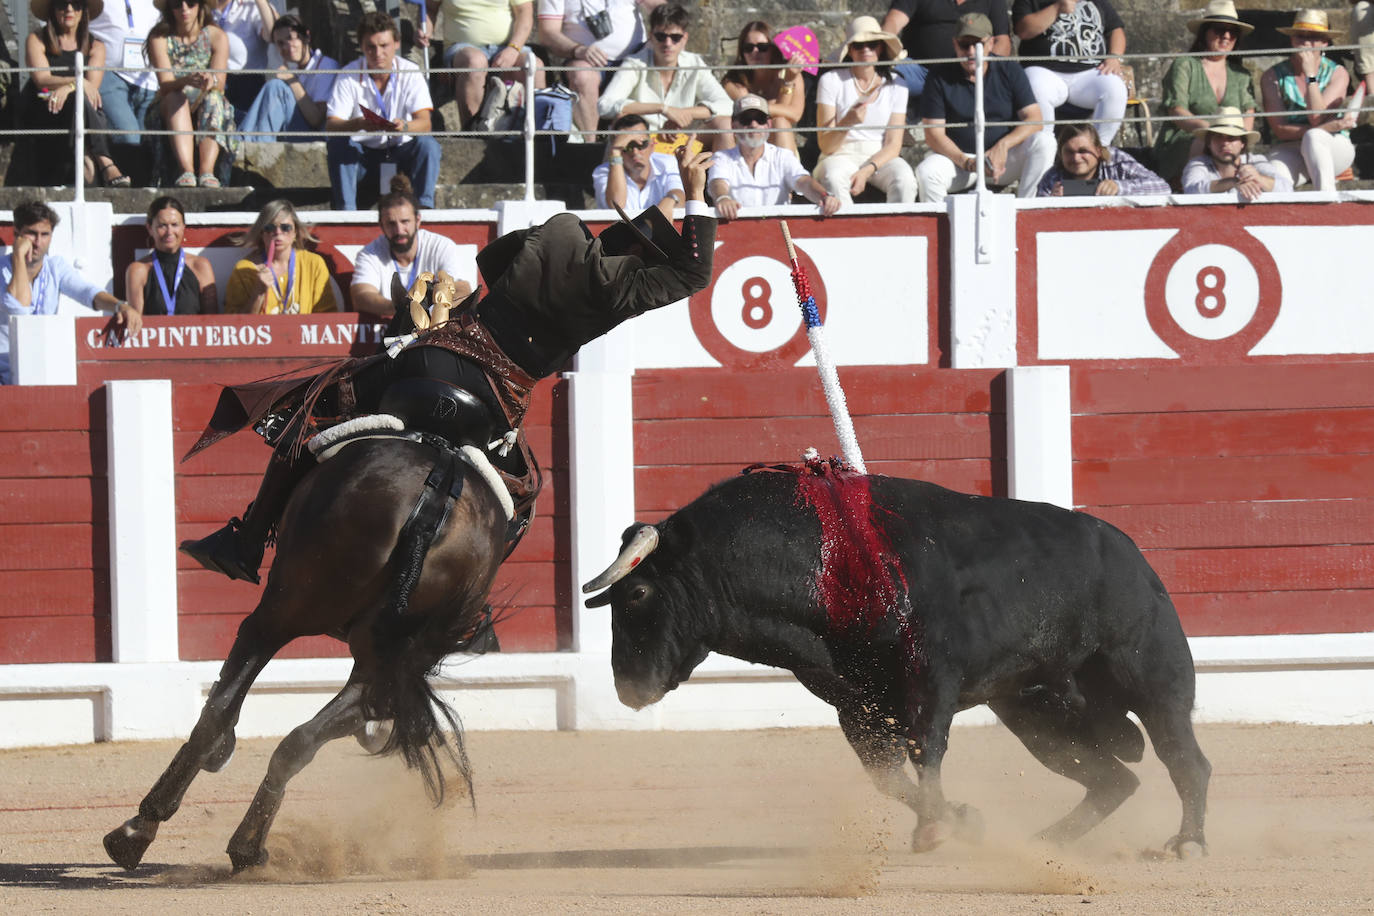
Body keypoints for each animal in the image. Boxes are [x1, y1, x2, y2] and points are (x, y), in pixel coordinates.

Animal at [103, 384, 516, 873]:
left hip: (279, 613)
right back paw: (245, 844)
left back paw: (139, 830)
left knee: (225, 710)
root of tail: (436, 495)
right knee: (300, 739)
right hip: (385, 655)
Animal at [585, 466, 1209, 862]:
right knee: (1113, 778)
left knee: (1185, 759)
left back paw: (1188, 844)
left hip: (1153, 678)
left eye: (637, 593)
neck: (825, 563)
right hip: (1036, 713)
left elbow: (924, 750)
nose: (628, 689)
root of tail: (1133, 553)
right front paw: (960, 819)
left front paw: (934, 828)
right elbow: (886, 777)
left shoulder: (930, 680)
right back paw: (1045, 843)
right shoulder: (853, 704)